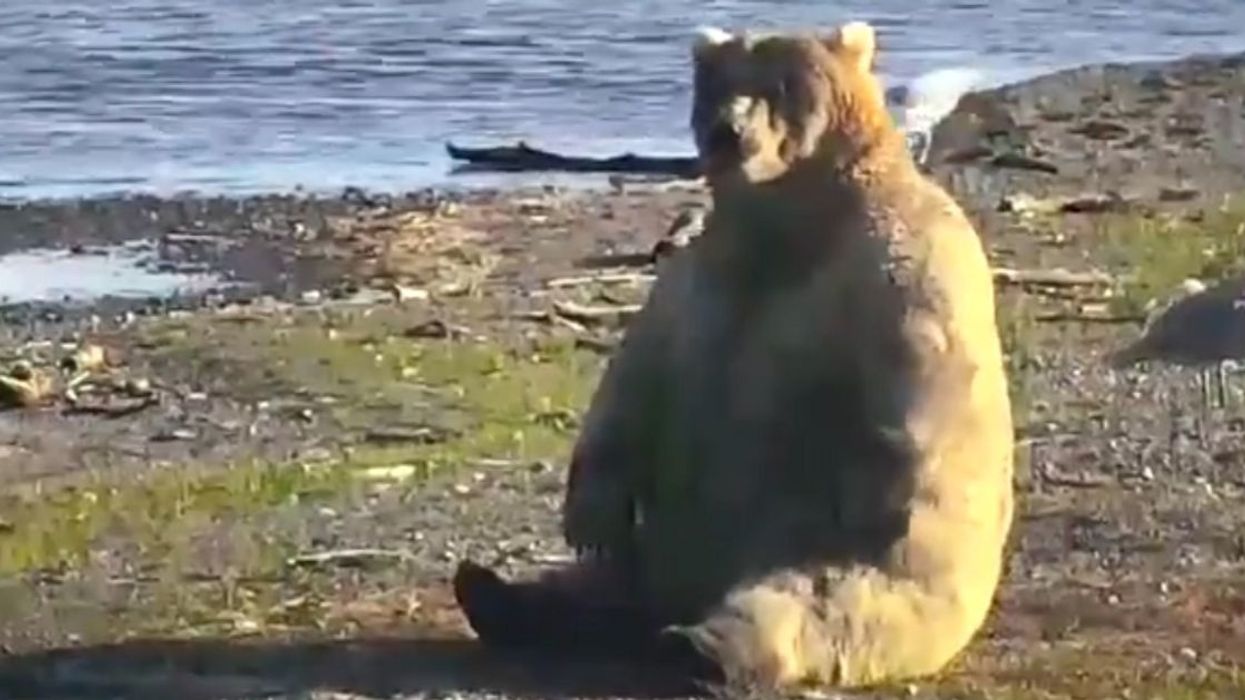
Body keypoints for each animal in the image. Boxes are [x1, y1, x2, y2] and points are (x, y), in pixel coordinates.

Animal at [453, 20, 1015, 693]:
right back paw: (494, 592)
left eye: (783, 84)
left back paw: (701, 645)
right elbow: (634, 378)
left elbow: (908, 399)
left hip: (853, 576)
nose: (729, 130)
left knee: (812, 598)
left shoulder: (897, 272)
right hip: (662, 546)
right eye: (720, 83)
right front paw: (588, 514)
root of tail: (683, 594)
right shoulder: (697, 276)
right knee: (606, 582)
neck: (781, 226)